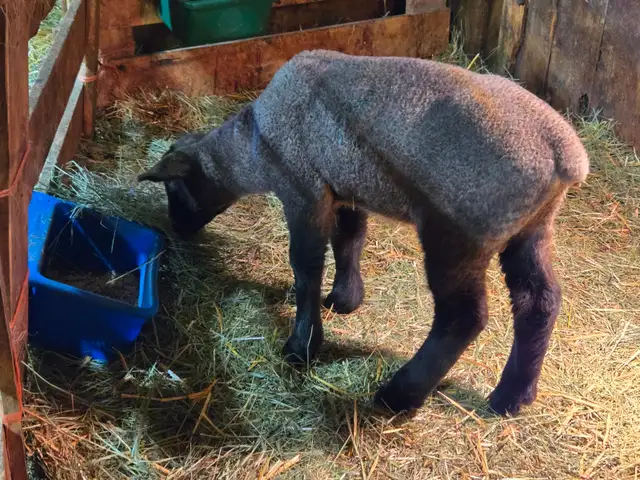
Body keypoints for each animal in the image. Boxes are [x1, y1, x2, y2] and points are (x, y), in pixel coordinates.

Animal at [138, 50, 589, 416]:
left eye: (173, 188)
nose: (177, 229)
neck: (255, 146)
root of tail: (563, 155)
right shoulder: (343, 187)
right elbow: (349, 240)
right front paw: (345, 298)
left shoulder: (302, 188)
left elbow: (306, 268)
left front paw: (302, 346)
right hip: (531, 228)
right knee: (539, 302)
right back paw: (512, 396)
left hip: (458, 231)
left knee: (462, 317)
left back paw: (400, 395)